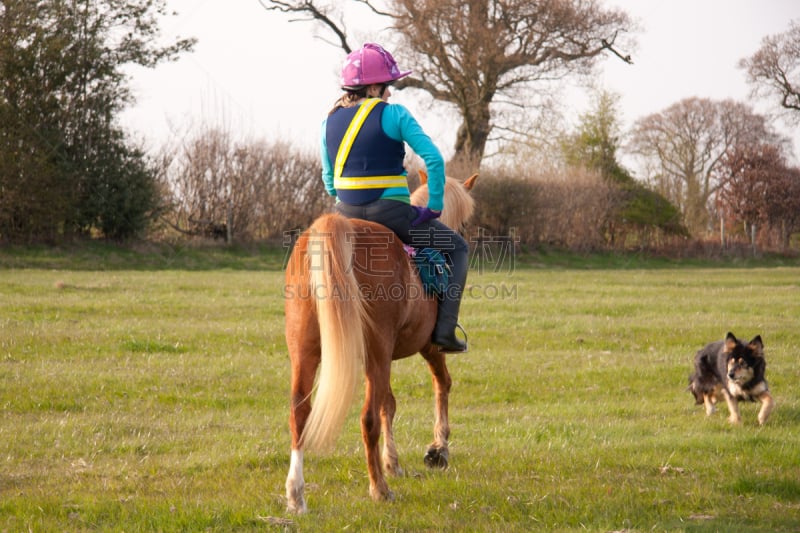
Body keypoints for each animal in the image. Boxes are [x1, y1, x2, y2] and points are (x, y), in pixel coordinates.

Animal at [282, 171, 476, 512]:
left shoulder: (383, 359)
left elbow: (390, 403)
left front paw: (393, 463)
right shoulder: (429, 347)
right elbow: (442, 385)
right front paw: (438, 449)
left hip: (307, 352)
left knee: (300, 413)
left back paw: (296, 494)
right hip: (378, 351)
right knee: (367, 418)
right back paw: (380, 489)